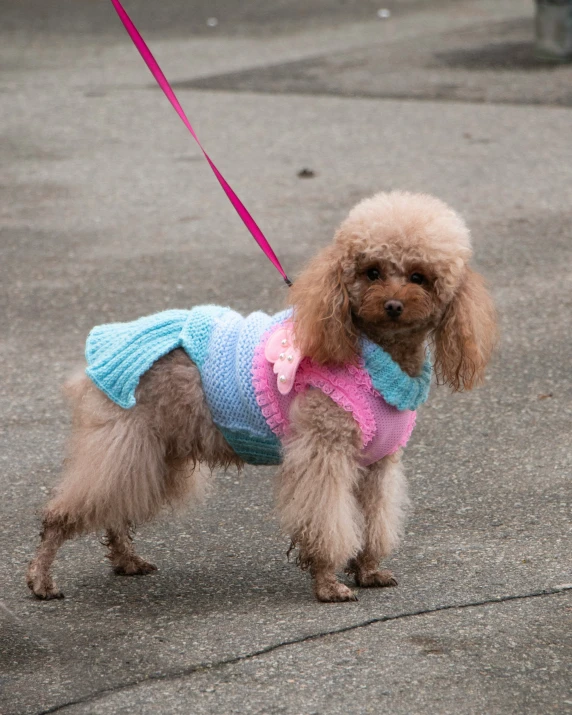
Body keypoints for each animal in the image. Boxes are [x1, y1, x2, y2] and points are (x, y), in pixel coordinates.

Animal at [26, 192, 496, 604]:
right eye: (372, 272)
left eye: (419, 276)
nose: (394, 305)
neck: (374, 357)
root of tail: (102, 348)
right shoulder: (323, 453)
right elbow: (326, 524)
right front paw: (329, 585)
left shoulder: (377, 465)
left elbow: (373, 521)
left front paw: (368, 570)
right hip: (122, 444)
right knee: (65, 512)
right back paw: (41, 579)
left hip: (150, 451)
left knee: (116, 508)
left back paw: (125, 560)